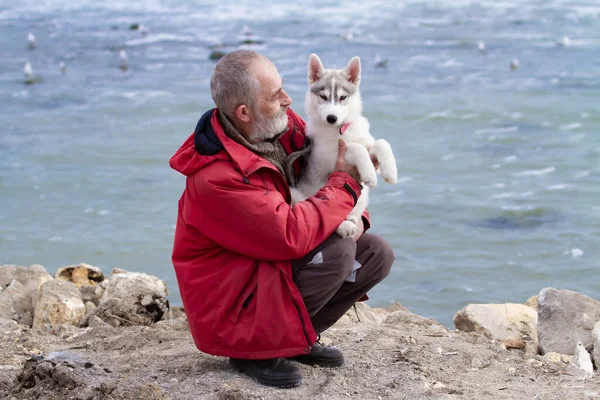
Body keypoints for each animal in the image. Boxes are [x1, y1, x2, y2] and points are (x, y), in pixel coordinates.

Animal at [290, 54, 398, 239]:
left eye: (342, 97)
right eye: (323, 97)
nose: (331, 118)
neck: (341, 130)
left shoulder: (366, 142)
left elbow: (381, 143)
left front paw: (390, 172)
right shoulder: (330, 157)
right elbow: (355, 148)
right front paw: (369, 174)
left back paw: (351, 218)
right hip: (300, 195)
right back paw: (344, 226)